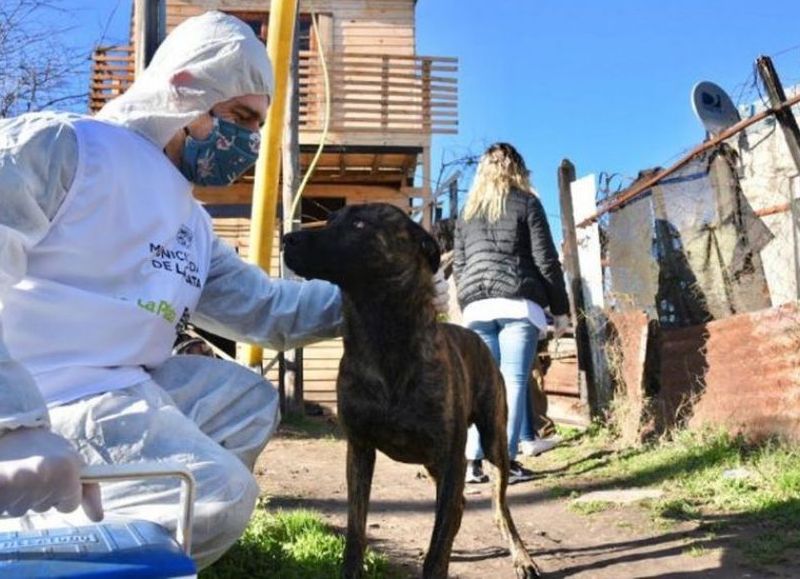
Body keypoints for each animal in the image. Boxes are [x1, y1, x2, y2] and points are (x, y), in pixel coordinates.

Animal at [284, 202, 540, 576]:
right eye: (331, 219)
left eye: (359, 224)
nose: (288, 239)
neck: (383, 336)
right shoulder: (360, 449)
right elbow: (356, 532)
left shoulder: (450, 458)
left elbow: (438, 546)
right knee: (460, 507)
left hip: (493, 445)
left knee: (498, 508)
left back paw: (522, 557)